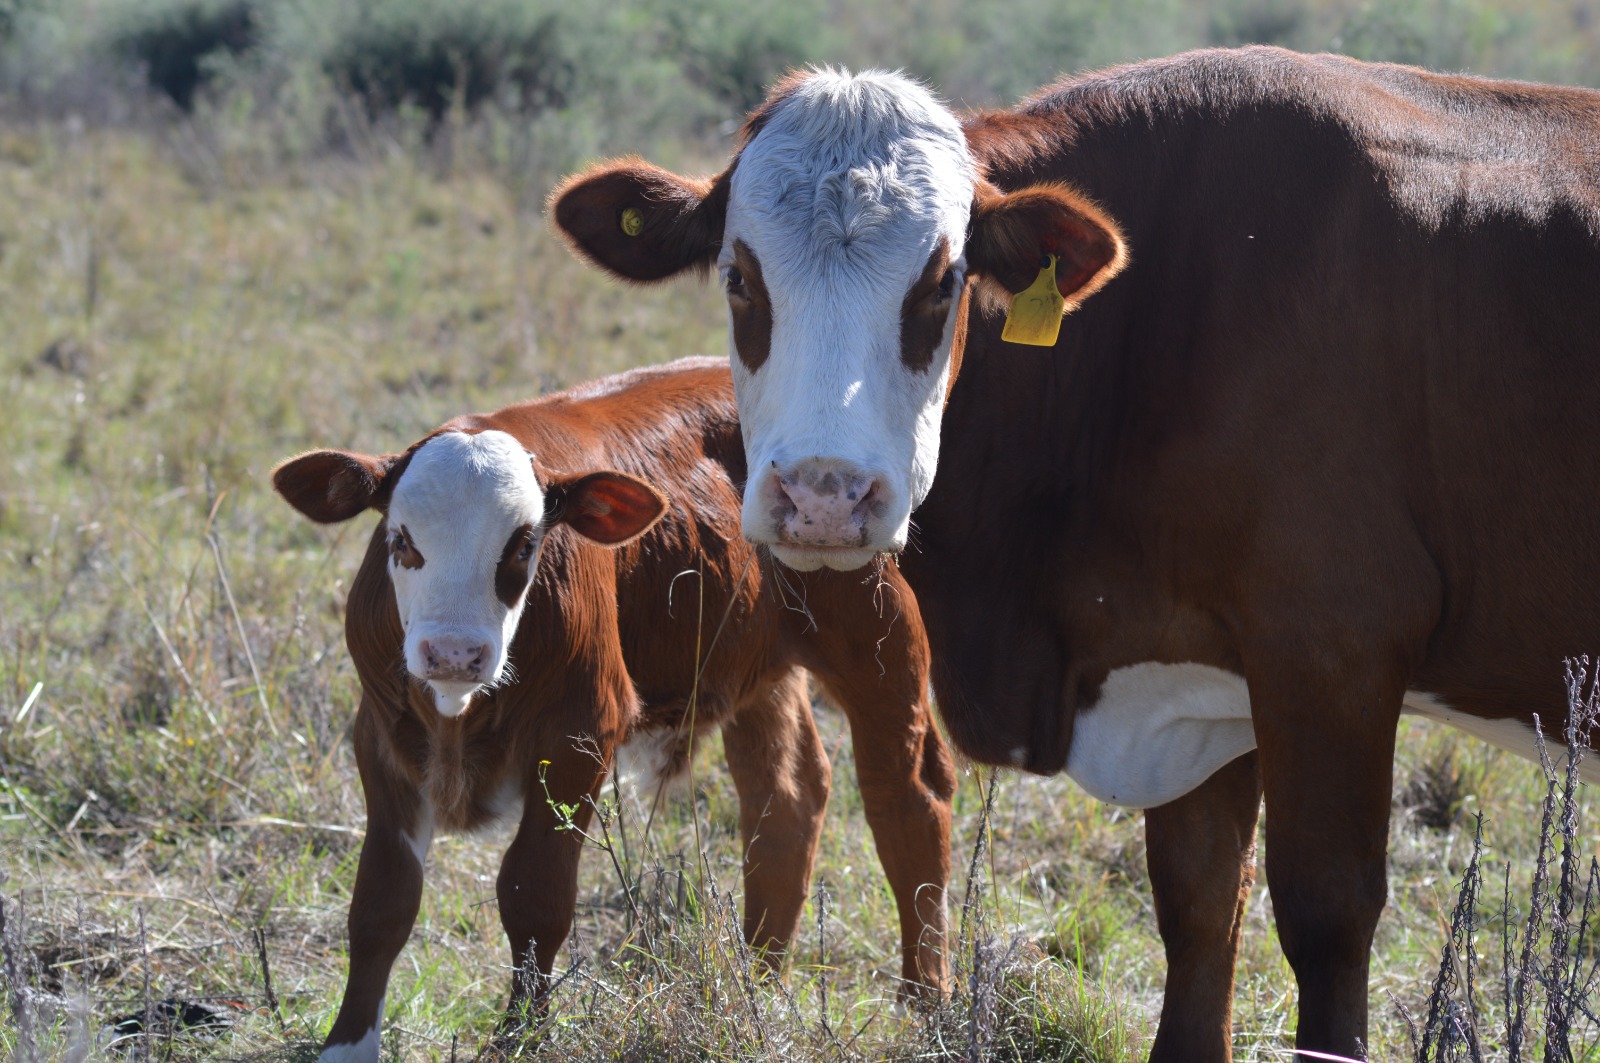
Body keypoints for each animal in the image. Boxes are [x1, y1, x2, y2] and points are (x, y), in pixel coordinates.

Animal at [272, 357, 955, 1062]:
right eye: (401, 539)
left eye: (523, 545)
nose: (455, 653)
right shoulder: (381, 738)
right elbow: (382, 901)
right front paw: (346, 1044)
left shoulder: (580, 733)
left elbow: (534, 895)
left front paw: (521, 1036)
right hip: (756, 665)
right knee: (786, 798)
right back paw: (761, 986)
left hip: (879, 639)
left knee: (907, 799)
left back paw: (926, 1004)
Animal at [550, 47, 1600, 1060]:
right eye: (739, 277)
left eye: (942, 282)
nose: (822, 496)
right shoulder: (1198, 673)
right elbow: (1199, 908)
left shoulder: (1333, 650)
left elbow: (1326, 913)